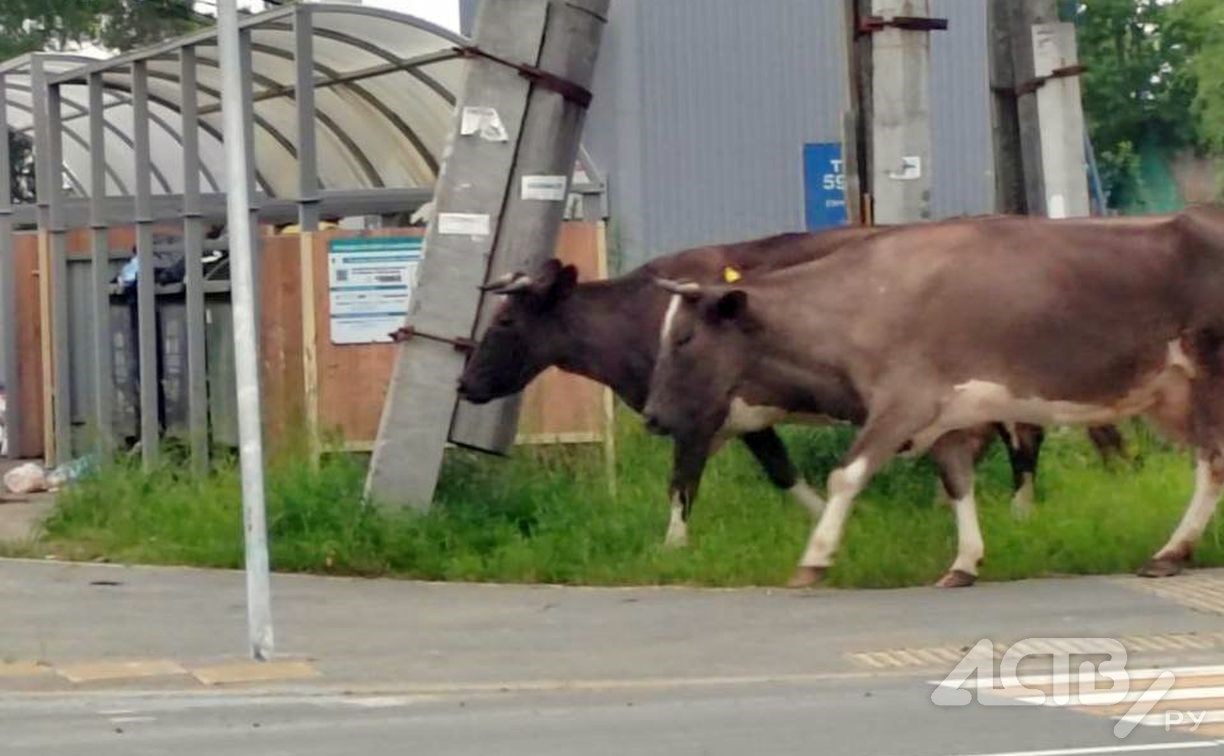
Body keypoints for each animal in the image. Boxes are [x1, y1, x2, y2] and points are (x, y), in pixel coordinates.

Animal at [641, 207, 1224, 589]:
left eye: (684, 338)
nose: (653, 416)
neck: (857, 304)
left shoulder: (904, 402)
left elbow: (845, 475)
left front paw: (816, 558)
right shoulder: (943, 415)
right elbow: (957, 482)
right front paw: (965, 561)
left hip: (1208, 377)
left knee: (1212, 464)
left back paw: (1171, 551)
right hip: (1172, 394)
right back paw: (1173, 551)